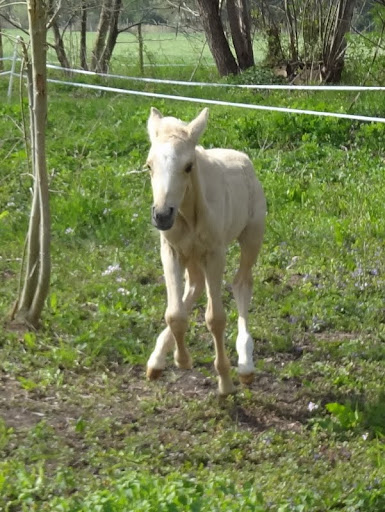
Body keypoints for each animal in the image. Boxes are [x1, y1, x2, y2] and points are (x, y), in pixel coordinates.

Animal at [144, 107, 264, 396]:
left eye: (188, 166)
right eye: (149, 165)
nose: (162, 215)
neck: (188, 213)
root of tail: (243, 158)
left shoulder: (215, 253)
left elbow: (215, 318)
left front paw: (226, 382)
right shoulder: (171, 250)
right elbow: (174, 313)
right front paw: (181, 360)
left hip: (252, 235)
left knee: (242, 283)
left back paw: (245, 365)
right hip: (191, 254)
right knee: (195, 285)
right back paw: (156, 360)